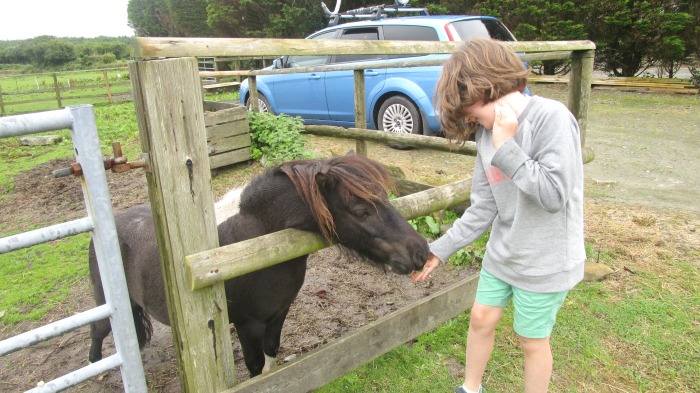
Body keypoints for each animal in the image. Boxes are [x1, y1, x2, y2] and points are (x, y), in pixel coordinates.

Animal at [87, 152, 426, 376]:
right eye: (360, 211)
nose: (420, 251)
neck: (257, 240)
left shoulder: (278, 312)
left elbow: (271, 354)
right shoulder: (247, 323)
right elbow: (255, 365)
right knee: (98, 331)